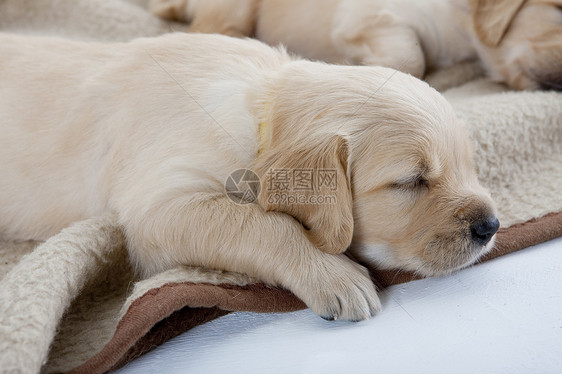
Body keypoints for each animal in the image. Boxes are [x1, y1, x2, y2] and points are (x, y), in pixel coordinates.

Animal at [1, 32, 498, 322]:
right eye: (411, 181)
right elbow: (262, 223)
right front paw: (335, 277)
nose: (491, 226)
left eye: (468, 166)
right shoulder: (155, 212)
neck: (261, 108)